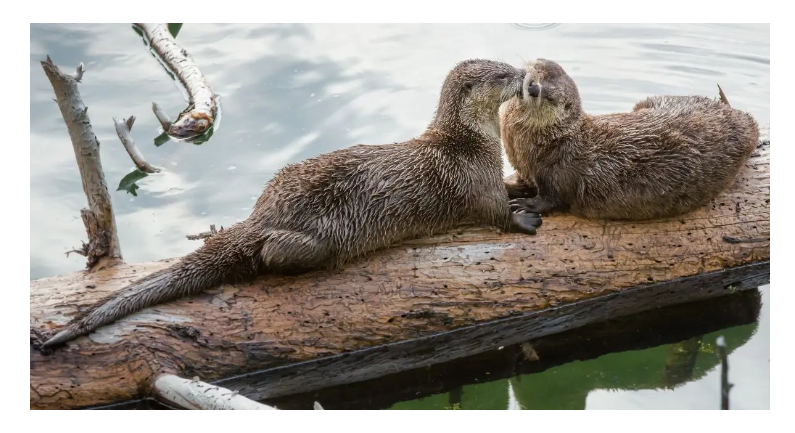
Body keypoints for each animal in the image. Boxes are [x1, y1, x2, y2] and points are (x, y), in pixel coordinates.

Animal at [42, 59, 542, 349]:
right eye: (503, 74)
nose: (526, 75)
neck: (469, 141)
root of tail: (261, 215)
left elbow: (506, 191)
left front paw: (526, 190)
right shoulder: (472, 178)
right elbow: (493, 211)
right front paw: (524, 218)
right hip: (313, 238)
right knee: (273, 253)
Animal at [500, 58, 760, 221]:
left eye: (550, 97)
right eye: (539, 73)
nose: (533, 88)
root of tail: (742, 117)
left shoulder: (561, 173)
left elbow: (552, 198)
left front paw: (525, 205)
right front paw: (513, 187)